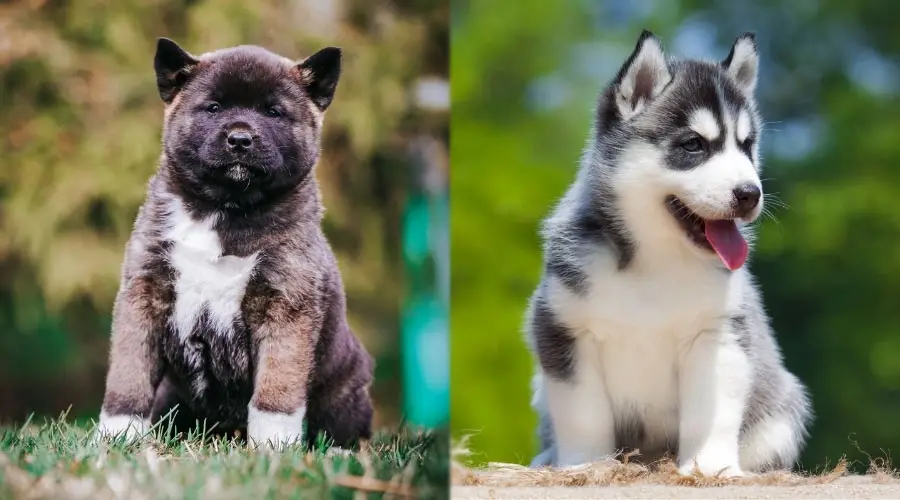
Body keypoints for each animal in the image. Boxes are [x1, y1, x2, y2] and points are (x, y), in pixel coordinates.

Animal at [98, 37, 376, 448]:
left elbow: (276, 391)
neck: (224, 210)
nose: (240, 139)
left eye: (274, 112)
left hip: (344, 393)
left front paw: (273, 447)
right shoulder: (144, 294)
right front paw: (117, 436)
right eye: (213, 107)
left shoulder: (286, 308)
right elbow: (128, 376)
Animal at [528, 32, 816, 476]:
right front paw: (586, 466)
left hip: (782, 410)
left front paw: (710, 468)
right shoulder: (562, 328)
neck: (654, 261)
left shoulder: (719, 333)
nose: (750, 194)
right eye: (693, 145)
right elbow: (582, 415)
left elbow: (711, 414)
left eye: (746, 146)